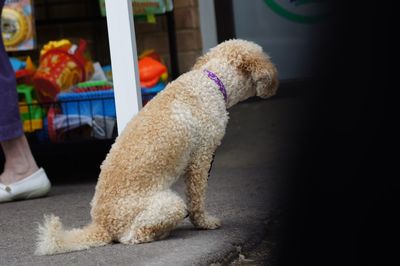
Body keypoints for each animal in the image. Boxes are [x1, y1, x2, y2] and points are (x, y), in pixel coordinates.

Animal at [35, 39, 278, 256]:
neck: (210, 81)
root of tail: (102, 225)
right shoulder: (200, 158)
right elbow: (197, 199)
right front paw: (205, 222)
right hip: (170, 204)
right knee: (133, 236)